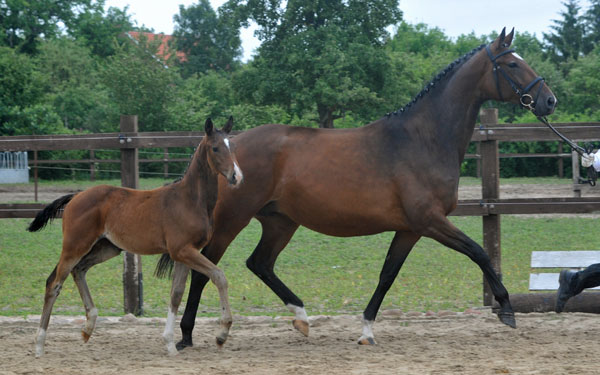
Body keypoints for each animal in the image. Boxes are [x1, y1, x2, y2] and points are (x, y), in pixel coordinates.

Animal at [27, 118, 244, 358]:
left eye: (232, 147)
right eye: (215, 148)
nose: (236, 176)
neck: (190, 200)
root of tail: (76, 196)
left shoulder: (185, 253)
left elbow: (176, 294)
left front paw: (170, 344)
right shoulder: (182, 250)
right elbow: (218, 276)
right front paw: (222, 333)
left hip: (107, 247)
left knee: (79, 270)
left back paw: (88, 328)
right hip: (75, 246)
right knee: (54, 283)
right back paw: (39, 344)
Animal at [161, 28, 556, 350]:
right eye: (512, 64)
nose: (549, 101)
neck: (423, 139)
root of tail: (227, 145)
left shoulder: (410, 229)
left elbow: (387, 275)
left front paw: (366, 330)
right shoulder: (431, 221)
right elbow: (480, 253)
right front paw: (506, 309)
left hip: (280, 221)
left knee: (259, 263)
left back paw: (301, 318)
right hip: (234, 219)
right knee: (206, 268)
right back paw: (192, 335)